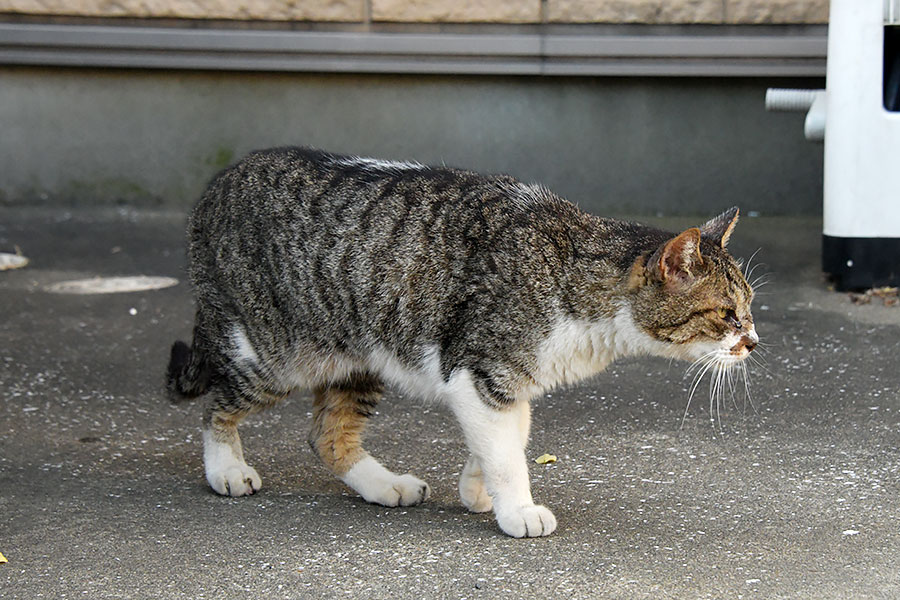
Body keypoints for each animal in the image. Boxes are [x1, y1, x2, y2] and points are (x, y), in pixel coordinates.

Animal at [165, 146, 756, 540]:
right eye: (727, 314)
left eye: (750, 307)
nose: (752, 340)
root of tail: (216, 186)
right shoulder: (480, 370)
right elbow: (507, 454)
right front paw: (517, 508)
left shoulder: (505, 382)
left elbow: (508, 438)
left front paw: (479, 490)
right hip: (272, 354)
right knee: (217, 408)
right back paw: (225, 471)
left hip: (358, 360)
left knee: (326, 435)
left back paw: (384, 485)